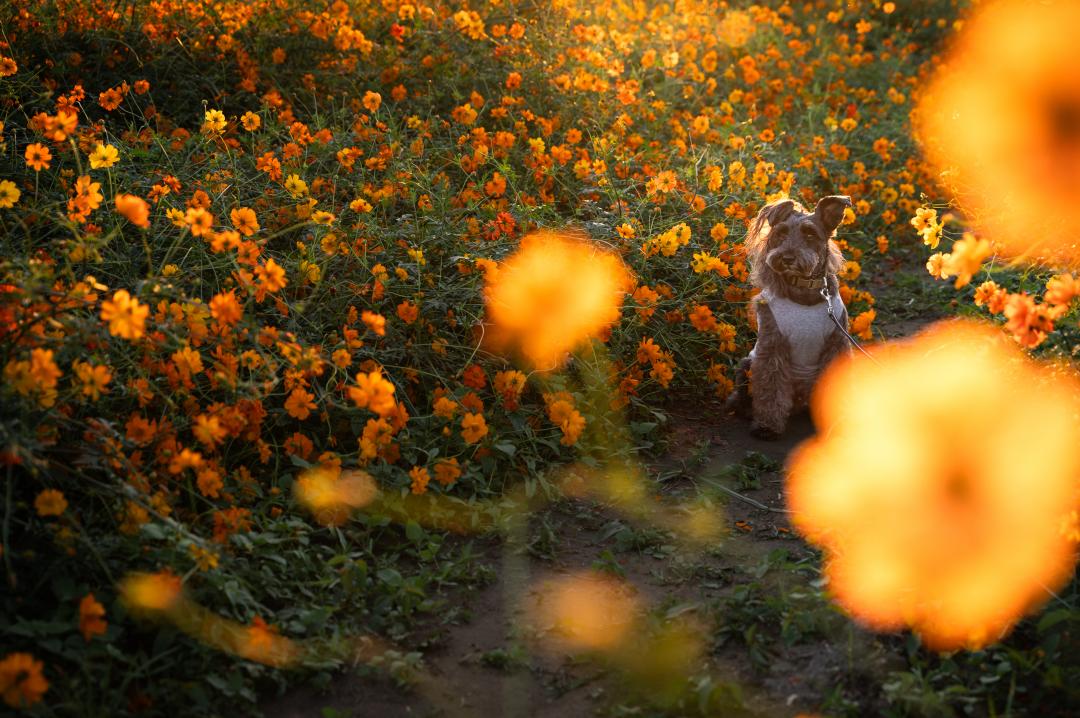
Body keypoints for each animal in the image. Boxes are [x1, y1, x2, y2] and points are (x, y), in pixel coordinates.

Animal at [725, 193, 851, 436]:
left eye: (810, 234)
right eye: (781, 232)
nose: (787, 258)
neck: (805, 292)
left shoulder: (836, 344)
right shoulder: (772, 346)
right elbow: (770, 387)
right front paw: (767, 425)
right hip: (746, 364)